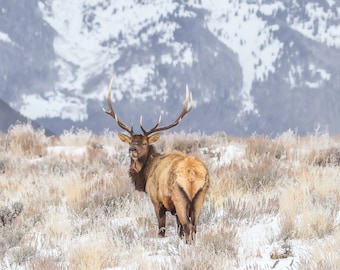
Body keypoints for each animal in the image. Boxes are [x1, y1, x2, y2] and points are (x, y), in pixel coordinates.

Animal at [103, 77, 210, 242]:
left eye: (144, 143)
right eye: (130, 141)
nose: (132, 150)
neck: (146, 174)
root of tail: (192, 173)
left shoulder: (157, 201)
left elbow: (161, 230)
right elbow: (178, 230)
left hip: (179, 197)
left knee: (188, 226)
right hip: (200, 197)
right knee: (194, 226)